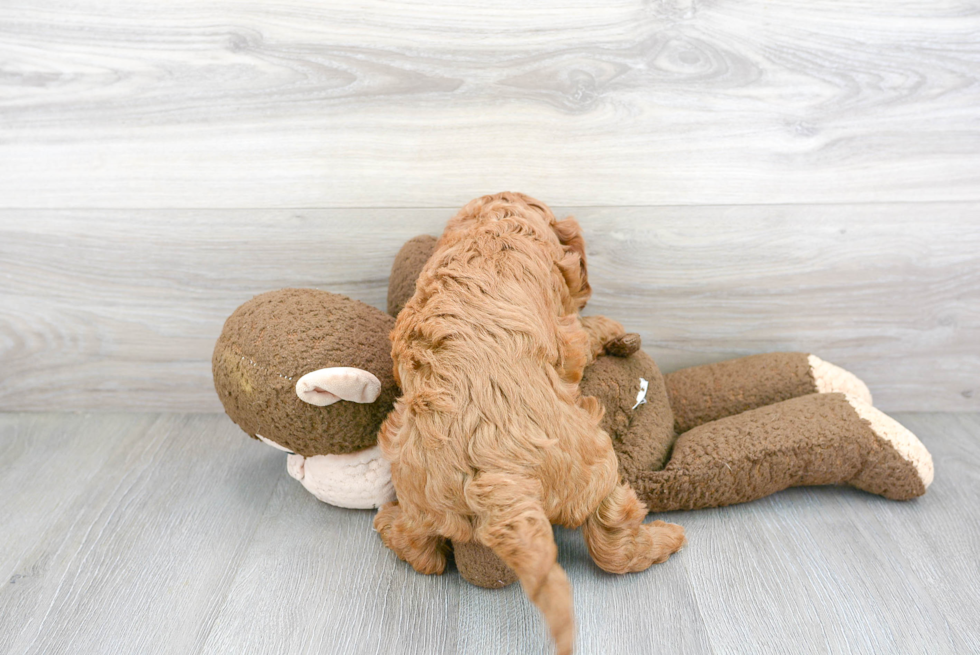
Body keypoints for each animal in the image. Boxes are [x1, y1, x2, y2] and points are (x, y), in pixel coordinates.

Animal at [372, 192, 684, 652]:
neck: (494, 225)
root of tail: (496, 479)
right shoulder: (568, 333)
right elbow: (584, 333)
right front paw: (608, 326)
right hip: (594, 461)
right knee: (611, 542)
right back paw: (664, 539)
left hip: (417, 487)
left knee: (423, 553)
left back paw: (388, 523)